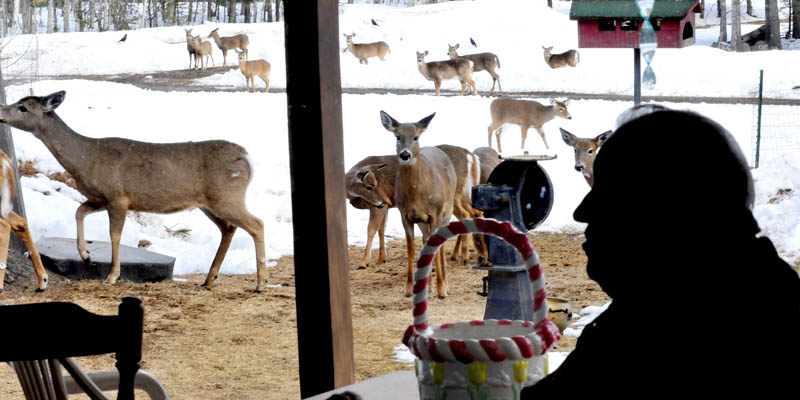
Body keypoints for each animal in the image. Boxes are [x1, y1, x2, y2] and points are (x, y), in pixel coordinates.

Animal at [380, 111, 456, 298]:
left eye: (416, 137)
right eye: (397, 136)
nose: (405, 155)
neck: (416, 194)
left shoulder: (435, 214)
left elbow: (435, 246)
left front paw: (442, 290)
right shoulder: (405, 215)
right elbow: (411, 249)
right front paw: (409, 289)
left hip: (447, 211)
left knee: (439, 244)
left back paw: (445, 285)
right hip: (423, 221)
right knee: (426, 241)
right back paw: (428, 286)